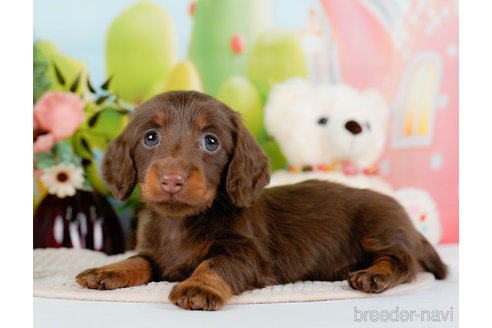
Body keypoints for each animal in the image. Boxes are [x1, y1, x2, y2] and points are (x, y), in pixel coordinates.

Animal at [76, 89, 446, 310]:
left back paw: (374, 274)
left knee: (403, 262)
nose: (171, 179)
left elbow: (214, 264)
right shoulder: (154, 253)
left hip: (379, 230)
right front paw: (106, 270)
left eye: (211, 141)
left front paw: (199, 287)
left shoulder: (247, 254)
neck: (181, 222)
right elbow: (137, 261)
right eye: (150, 137)